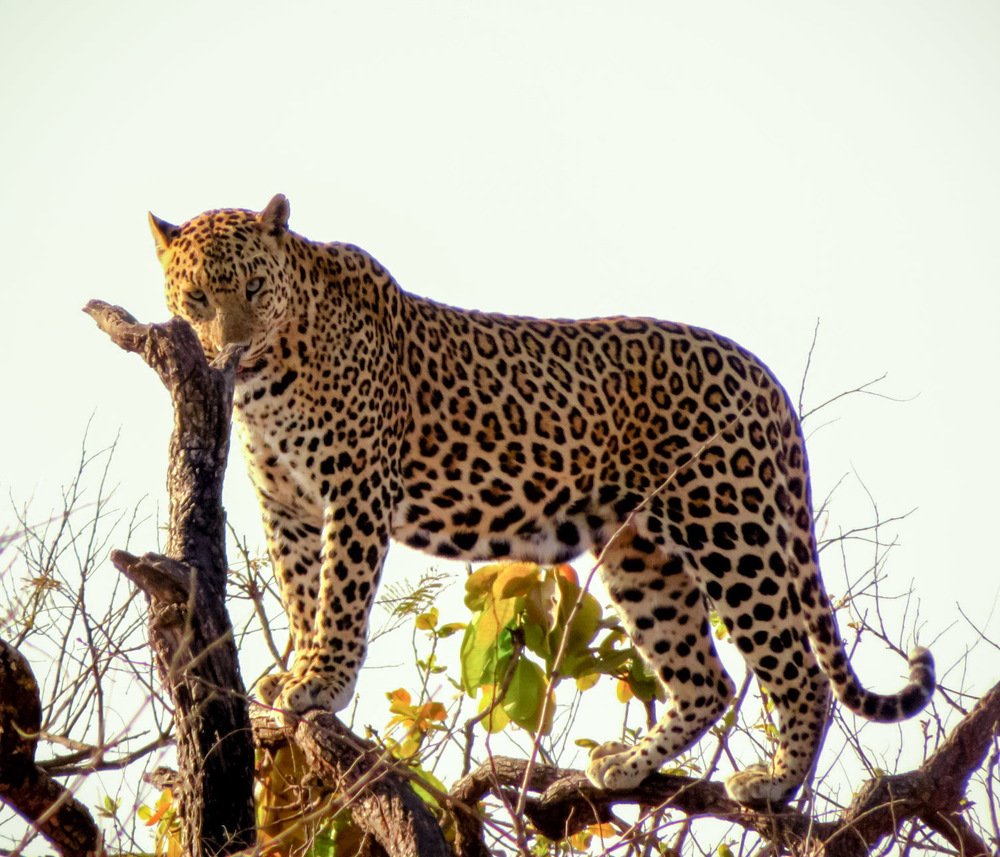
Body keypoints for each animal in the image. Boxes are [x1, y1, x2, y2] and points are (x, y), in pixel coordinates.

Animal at [149, 193, 934, 807]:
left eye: (255, 287)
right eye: (198, 301)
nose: (232, 352)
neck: (273, 376)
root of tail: (765, 378)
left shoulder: (356, 488)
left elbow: (339, 592)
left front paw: (322, 681)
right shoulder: (287, 505)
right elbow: (299, 591)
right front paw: (300, 666)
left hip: (731, 528)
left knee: (798, 671)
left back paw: (774, 781)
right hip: (640, 555)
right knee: (705, 680)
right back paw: (630, 764)